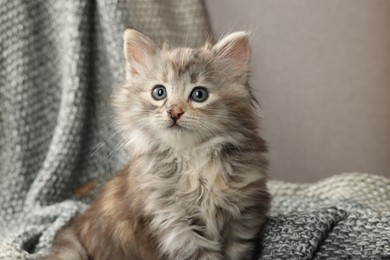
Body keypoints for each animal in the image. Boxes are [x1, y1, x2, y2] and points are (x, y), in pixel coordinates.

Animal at [42, 29, 268, 258]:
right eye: (159, 92)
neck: (192, 158)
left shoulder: (242, 216)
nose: (174, 112)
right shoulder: (173, 224)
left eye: (199, 94)